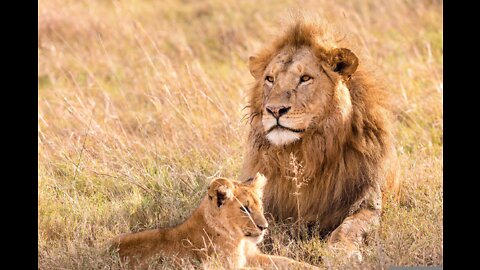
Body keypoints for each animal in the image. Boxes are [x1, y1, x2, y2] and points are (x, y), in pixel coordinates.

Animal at [240, 19, 402, 258]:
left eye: (305, 78)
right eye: (270, 79)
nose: (275, 110)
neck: (305, 152)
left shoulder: (367, 200)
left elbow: (349, 227)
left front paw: (341, 253)